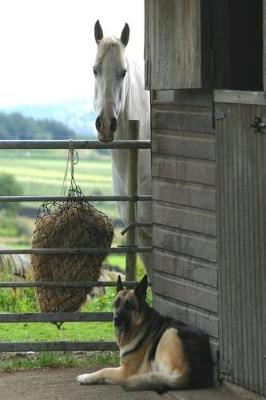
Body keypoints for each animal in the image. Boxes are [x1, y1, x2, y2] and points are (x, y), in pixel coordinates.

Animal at [76, 276, 213, 390]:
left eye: (128, 306)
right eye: (116, 303)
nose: (116, 319)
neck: (139, 325)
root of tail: (189, 374)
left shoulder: (125, 372)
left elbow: (104, 370)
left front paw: (86, 377)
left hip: (169, 333)